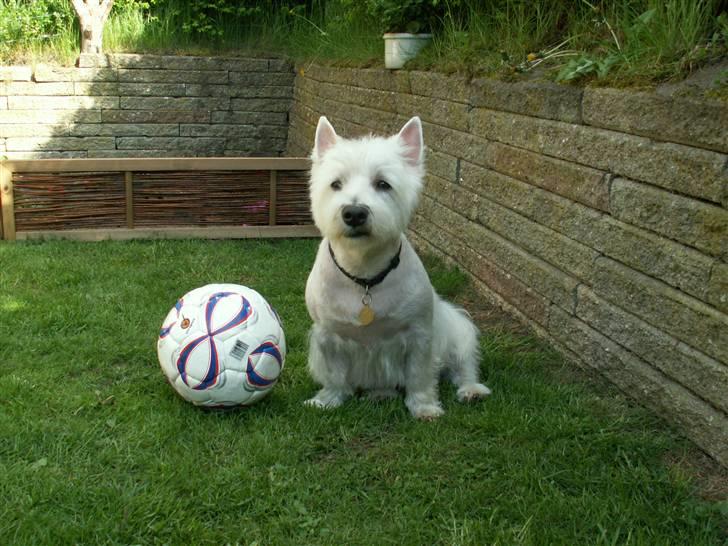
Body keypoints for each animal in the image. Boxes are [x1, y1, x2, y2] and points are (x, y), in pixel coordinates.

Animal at [302, 115, 490, 416]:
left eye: (383, 184)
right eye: (335, 184)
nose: (354, 213)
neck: (364, 273)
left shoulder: (419, 334)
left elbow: (418, 374)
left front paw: (424, 407)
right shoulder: (327, 334)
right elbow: (334, 374)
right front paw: (327, 400)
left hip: (458, 330)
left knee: (463, 365)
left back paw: (471, 390)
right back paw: (381, 393)